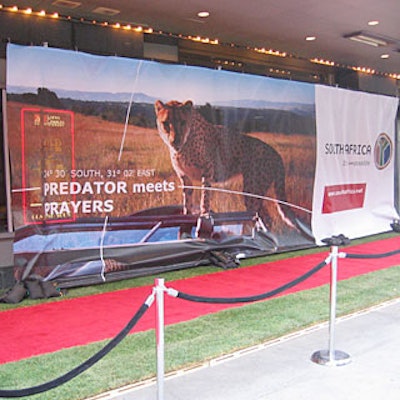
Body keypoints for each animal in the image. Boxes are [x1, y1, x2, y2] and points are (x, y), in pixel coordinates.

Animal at [155, 99, 302, 234]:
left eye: (182, 122)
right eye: (166, 123)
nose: (175, 141)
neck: (184, 145)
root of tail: (275, 153)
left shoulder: (207, 171)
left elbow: (205, 197)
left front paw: (204, 216)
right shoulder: (185, 176)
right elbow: (187, 199)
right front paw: (186, 216)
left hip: (252, 189)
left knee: (256, 216)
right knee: (264, 217)